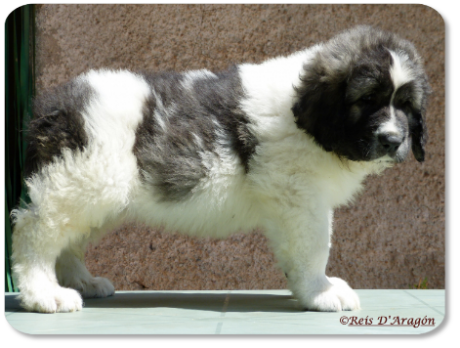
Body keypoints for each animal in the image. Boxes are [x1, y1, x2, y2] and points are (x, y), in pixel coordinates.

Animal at [10, 25, 430, 312]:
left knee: (68, 239)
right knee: (36, 232)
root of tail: (51, 108)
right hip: (84, 181)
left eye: (406, 105)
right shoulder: (298, 197)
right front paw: (321, 292)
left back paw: (82, 281)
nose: (392, 140)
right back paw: (44, 294)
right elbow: (314, 247)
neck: (307, 118)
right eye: (367, 100)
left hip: (99, 193)